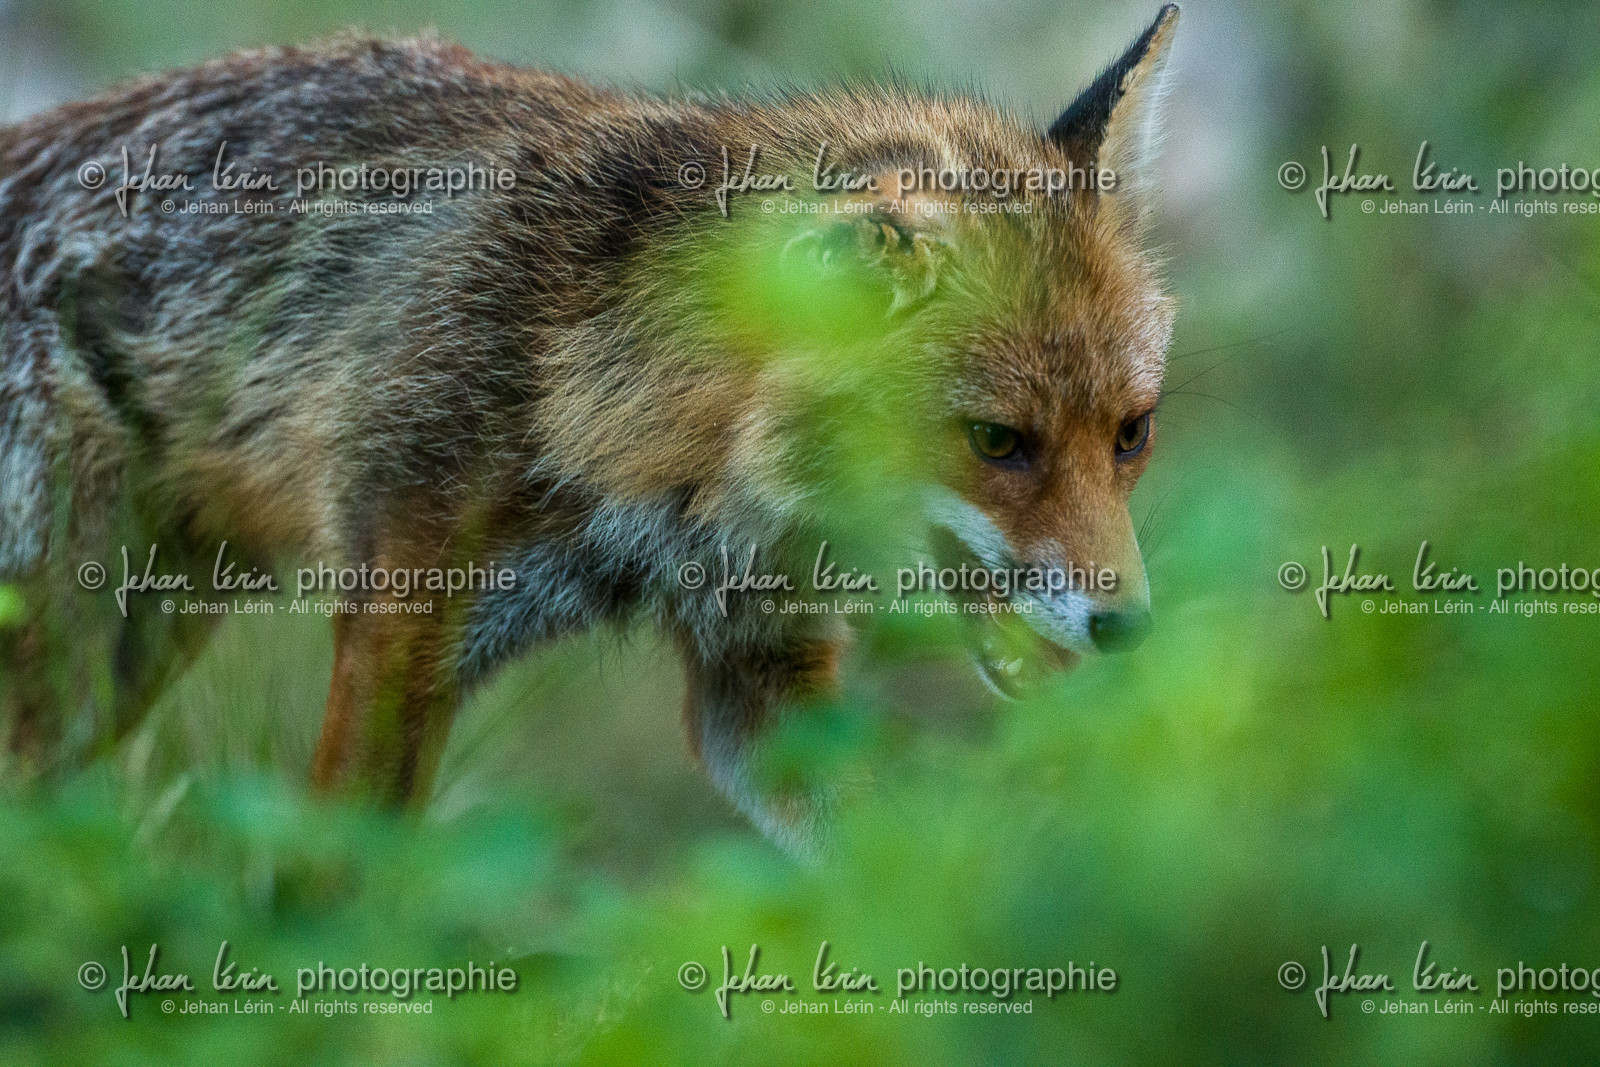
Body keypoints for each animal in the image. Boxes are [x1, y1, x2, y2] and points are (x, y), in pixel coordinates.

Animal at [0, 6, 1179, 854]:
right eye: (996, 441)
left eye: (1131, 433)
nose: (1128, 630)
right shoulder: (398, 630)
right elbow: (330, 888)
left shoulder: (758, 673)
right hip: (69, 664)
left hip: (134, 651)